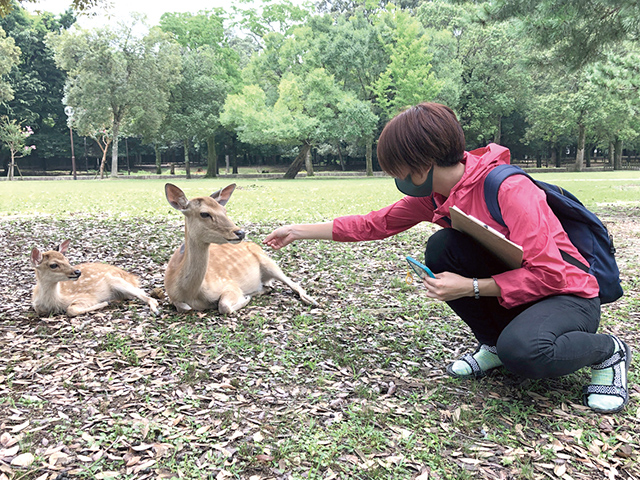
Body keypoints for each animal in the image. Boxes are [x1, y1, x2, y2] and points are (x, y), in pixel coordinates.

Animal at [30, 242, 161, 316]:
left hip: (116, 280)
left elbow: (71, 310)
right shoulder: (36, 306)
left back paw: (155, 311)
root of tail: (132, 278)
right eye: (53, 265)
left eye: (67, 260)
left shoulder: (87, 297)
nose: (77, 272)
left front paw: (105, 302)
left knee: (146, 295)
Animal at [164, 182, 316, 314]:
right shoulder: (174, 298)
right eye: (204, 213)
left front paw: (245, 297)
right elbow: (184, 307)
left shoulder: (230, 284)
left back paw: (311, 300)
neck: (190, 292)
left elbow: (223, 305)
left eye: (224, 210)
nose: (240, 232)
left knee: (294, 284)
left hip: (269, 262)